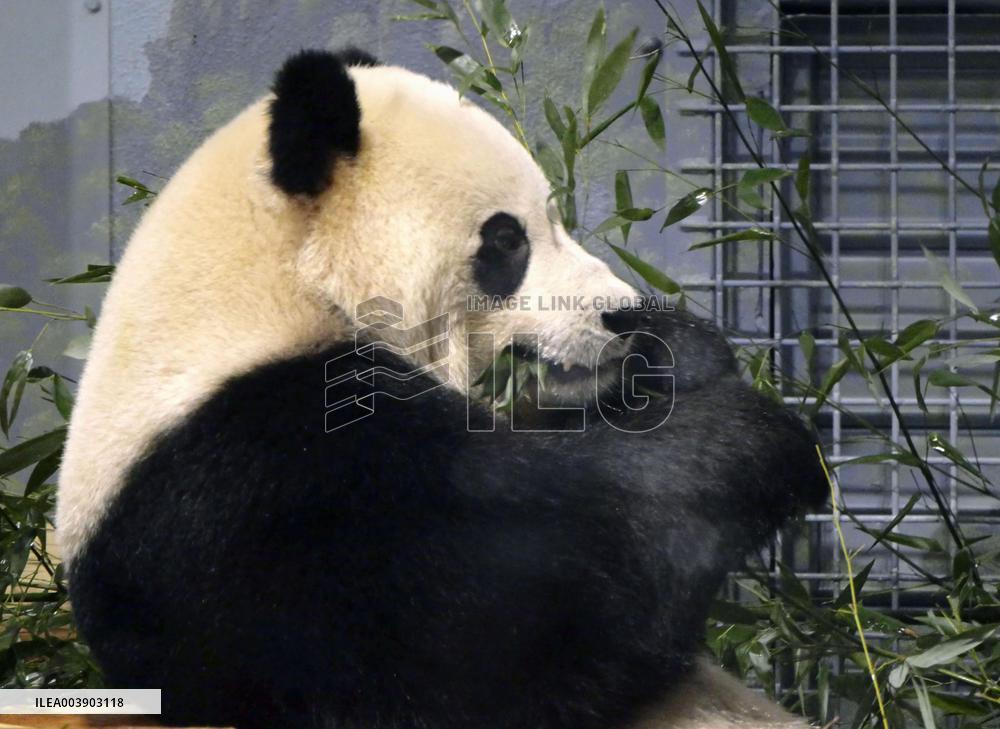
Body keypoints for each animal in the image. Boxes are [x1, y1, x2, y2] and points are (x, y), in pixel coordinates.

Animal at [57, 49, 824, 729]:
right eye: (507, 239)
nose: (621, 312)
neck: (280, 290)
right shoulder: (260, 486)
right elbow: (500, 631)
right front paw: (746, 436)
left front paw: (668, 357)